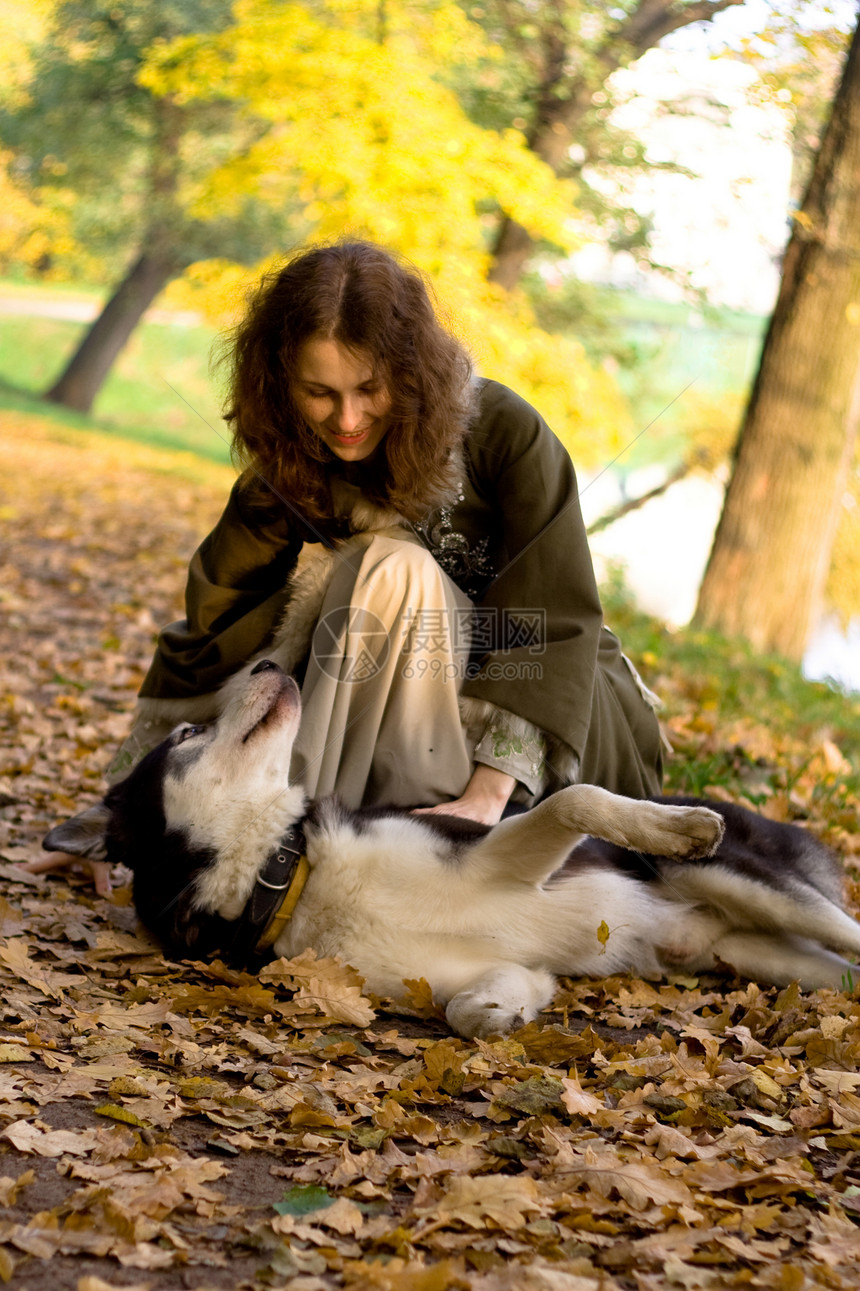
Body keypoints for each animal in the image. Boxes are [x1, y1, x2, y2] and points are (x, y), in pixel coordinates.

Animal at [46, 660, 857, 1032]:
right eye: (188, 732)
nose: (270, 664)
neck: (289, 875)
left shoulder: (498, 848)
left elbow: (575, 797)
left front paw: (675, 826)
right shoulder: (462, 965)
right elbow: (470, 1004)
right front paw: (507, 1013)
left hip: (752, 886)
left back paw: (689, 825)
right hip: (770, 959)